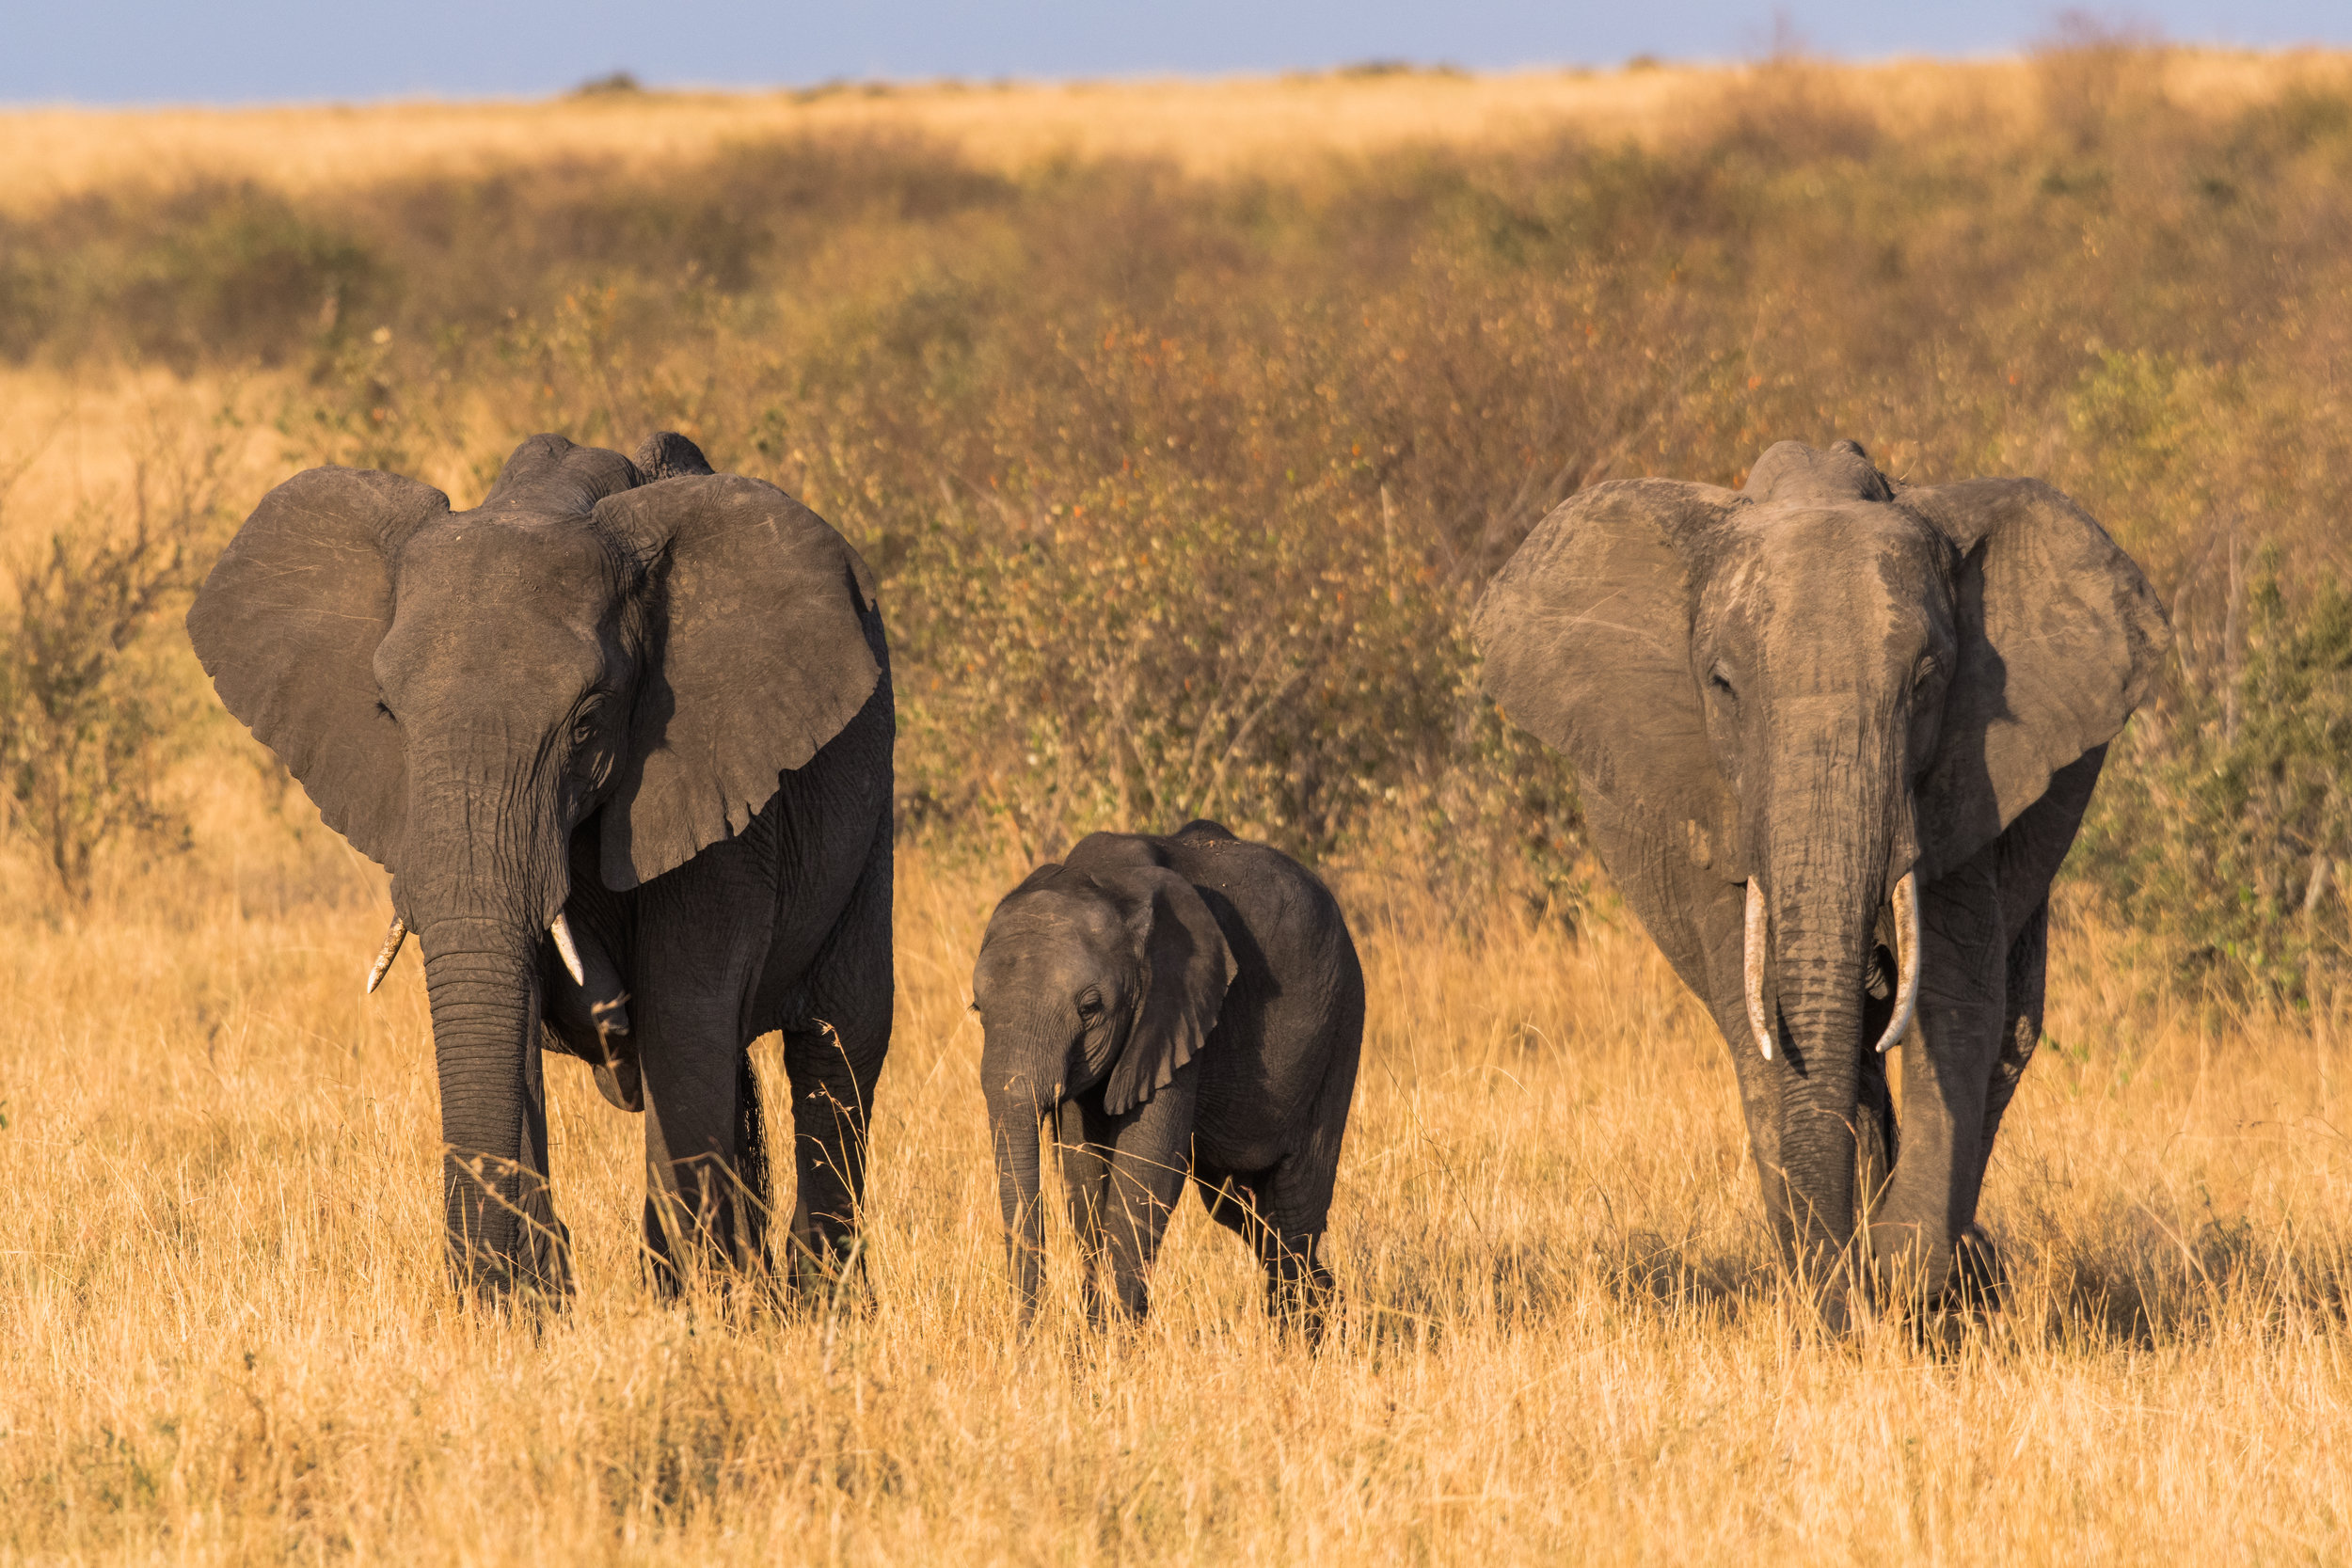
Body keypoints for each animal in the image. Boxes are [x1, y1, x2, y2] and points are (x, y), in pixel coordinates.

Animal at [185, 425, 889, 1297]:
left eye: (587, 722)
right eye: (388, 713)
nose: (475, 1289)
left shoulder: (717, 790)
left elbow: (684, 1019)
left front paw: (686, 1310)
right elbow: (510, 1012)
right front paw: (529, 1306)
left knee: (837, 1047)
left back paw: (812, 1300)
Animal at [974, 822, 1374, 1335]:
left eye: (1090, 1008)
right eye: (977, 1008)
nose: (1029, 1340)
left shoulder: (1179, 1011)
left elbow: (1147, 1166)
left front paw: (1114, 1342)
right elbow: (1082, 1169)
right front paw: (1094, 1343)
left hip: (1340, 1024)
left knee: (1295, 1202)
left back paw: (1307, 1335)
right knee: (1239, 1205)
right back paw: (1331, 1308)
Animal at [1468, 441, 2164, 1325]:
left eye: (1925, 683)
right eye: (1722, 685)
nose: (1859, 1274)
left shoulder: (1970, 770)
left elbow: (1957, 999)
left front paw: (1910, 1274)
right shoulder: (1708, 793)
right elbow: (1761, 1016)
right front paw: (1840, 1294)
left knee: (2009, 1031)